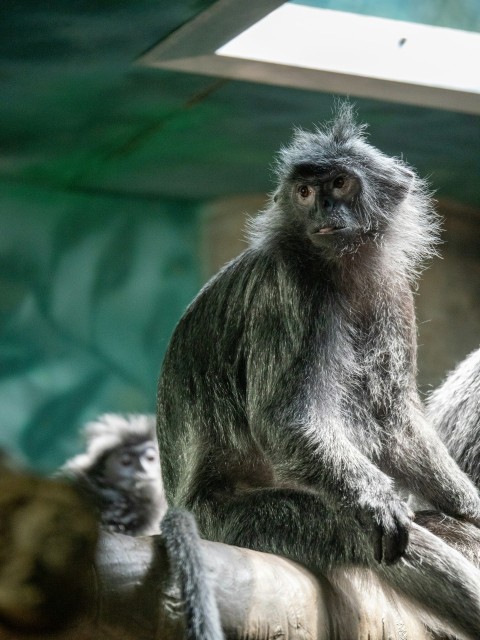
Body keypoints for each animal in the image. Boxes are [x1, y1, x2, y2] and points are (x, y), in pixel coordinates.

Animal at [158, 102, 480, 636]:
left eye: (341, 184)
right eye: (306, 193)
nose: (323, 208)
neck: (338, 268)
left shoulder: (392, 288)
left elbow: (394, 419)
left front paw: (471, 505)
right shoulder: (294, 286)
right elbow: (284, 420)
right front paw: (377, 501)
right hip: (235, 521)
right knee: (356, 527)